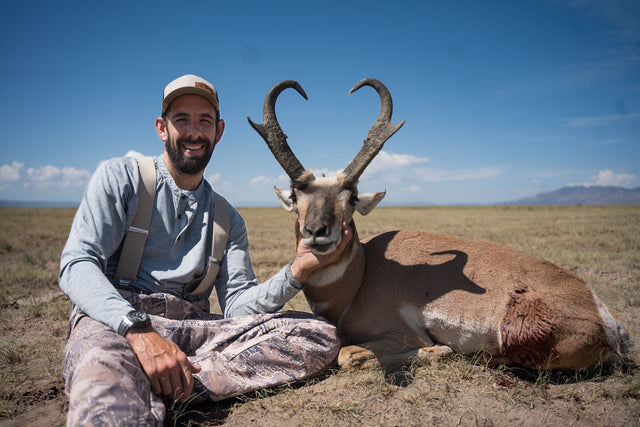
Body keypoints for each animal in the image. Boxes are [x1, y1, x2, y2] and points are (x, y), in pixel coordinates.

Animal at [248, 79, 632, 371]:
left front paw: (439, 350)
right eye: (296, 197)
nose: (317, 233)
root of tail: (603, 316)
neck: (364, 276)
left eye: (352, 199)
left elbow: (348, 355)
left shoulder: (400, 334)